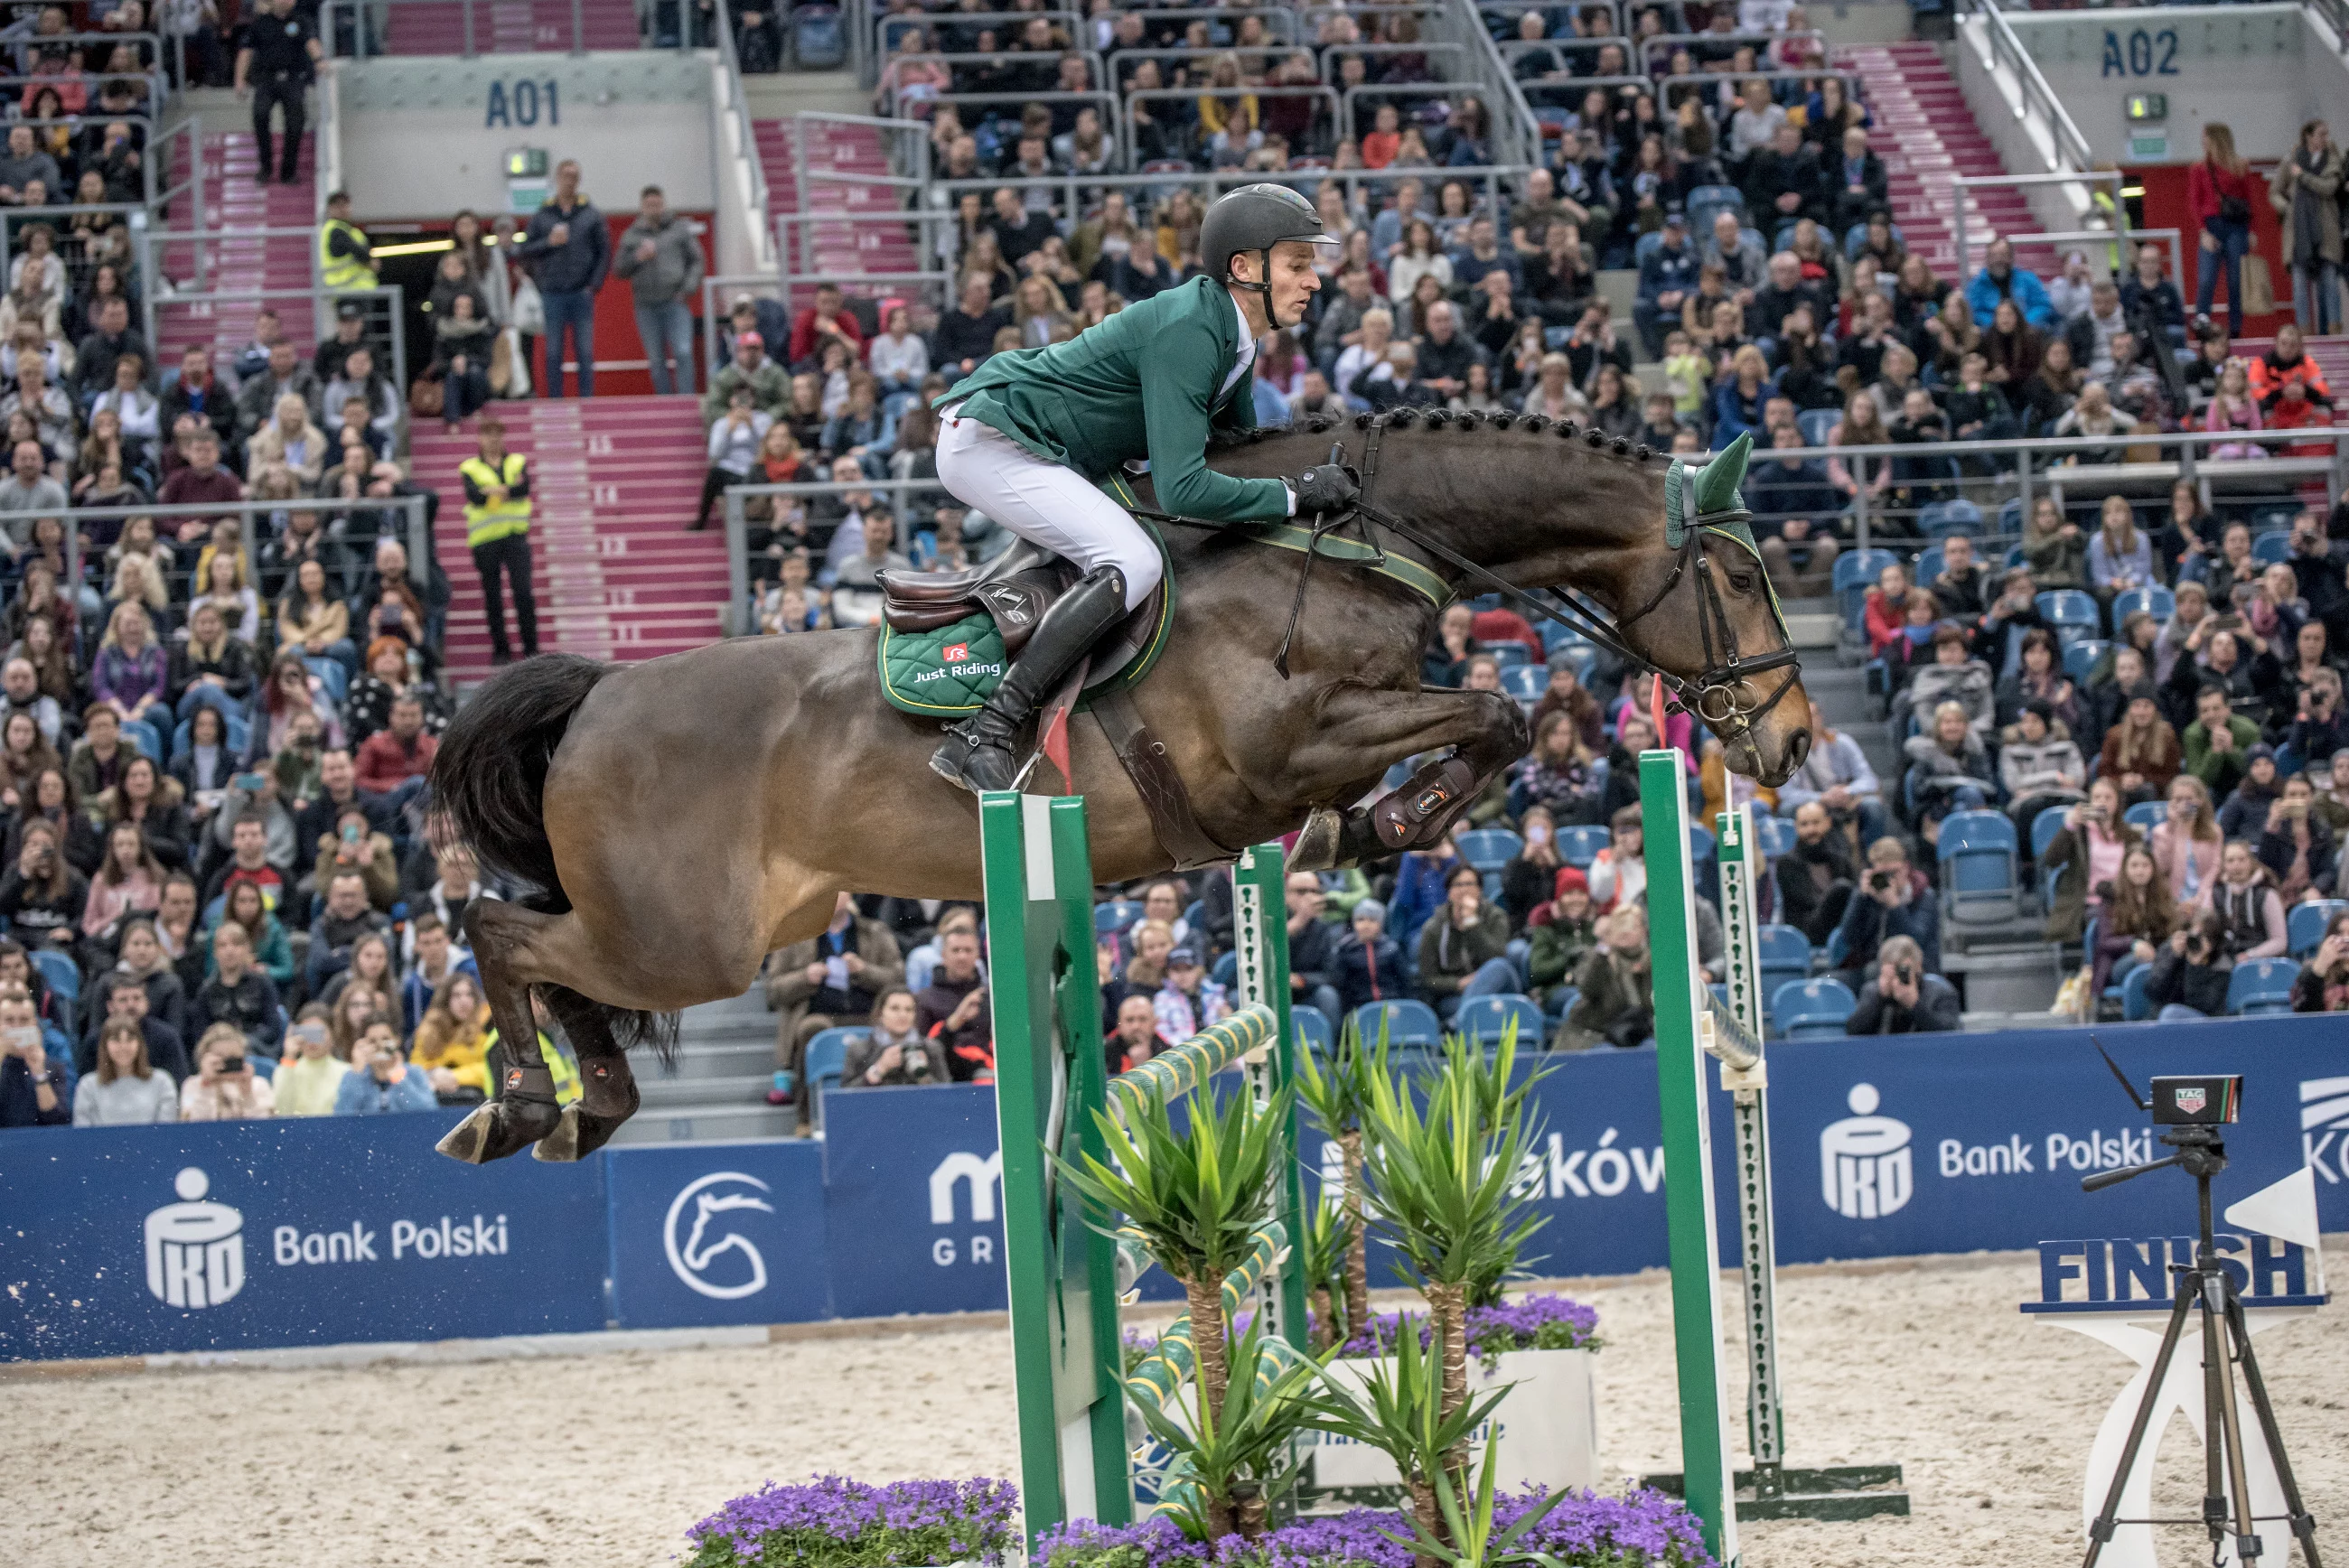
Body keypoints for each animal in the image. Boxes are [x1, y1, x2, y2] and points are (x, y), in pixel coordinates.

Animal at [432, 410, 1803, 1159]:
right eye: (1740, 578)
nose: (1787, 740)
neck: (1345, 544)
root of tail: (598, 694)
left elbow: (1487, 721)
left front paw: (1376, 825)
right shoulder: (1283, 752)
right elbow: (1498, 709)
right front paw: (1385, 820)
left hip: (732, 926)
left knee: (549, 960)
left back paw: (581, 1108)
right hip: (687, 940)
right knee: (501, 931)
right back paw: (523, 1106)